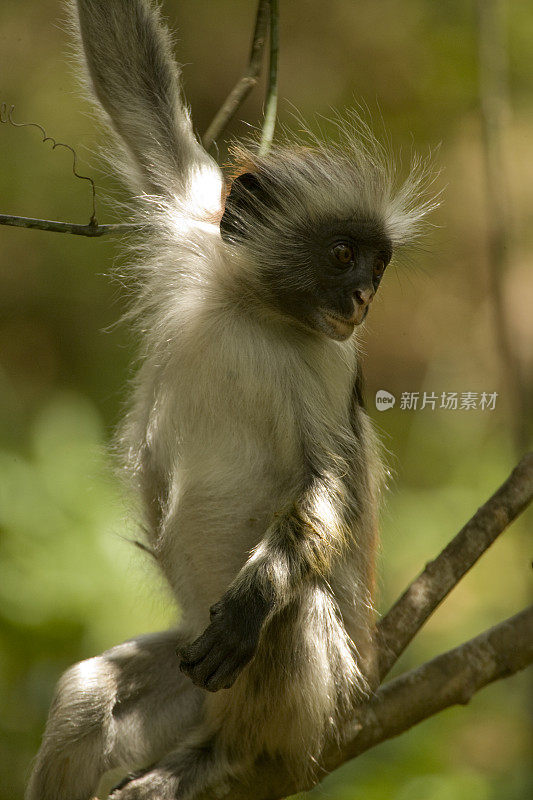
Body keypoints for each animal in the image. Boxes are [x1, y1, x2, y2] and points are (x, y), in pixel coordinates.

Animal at [23, 3, 432, 796]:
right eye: (343, 255)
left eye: (377, 266)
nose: (362, 299)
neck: (252, 305)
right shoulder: (191, 221)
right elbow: (132, 88)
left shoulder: (331, 360)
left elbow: (330, 486)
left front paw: (254, 599)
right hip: (189, 665)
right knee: (87, 695)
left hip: (307, 692)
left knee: (292, 612)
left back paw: (227, 754)